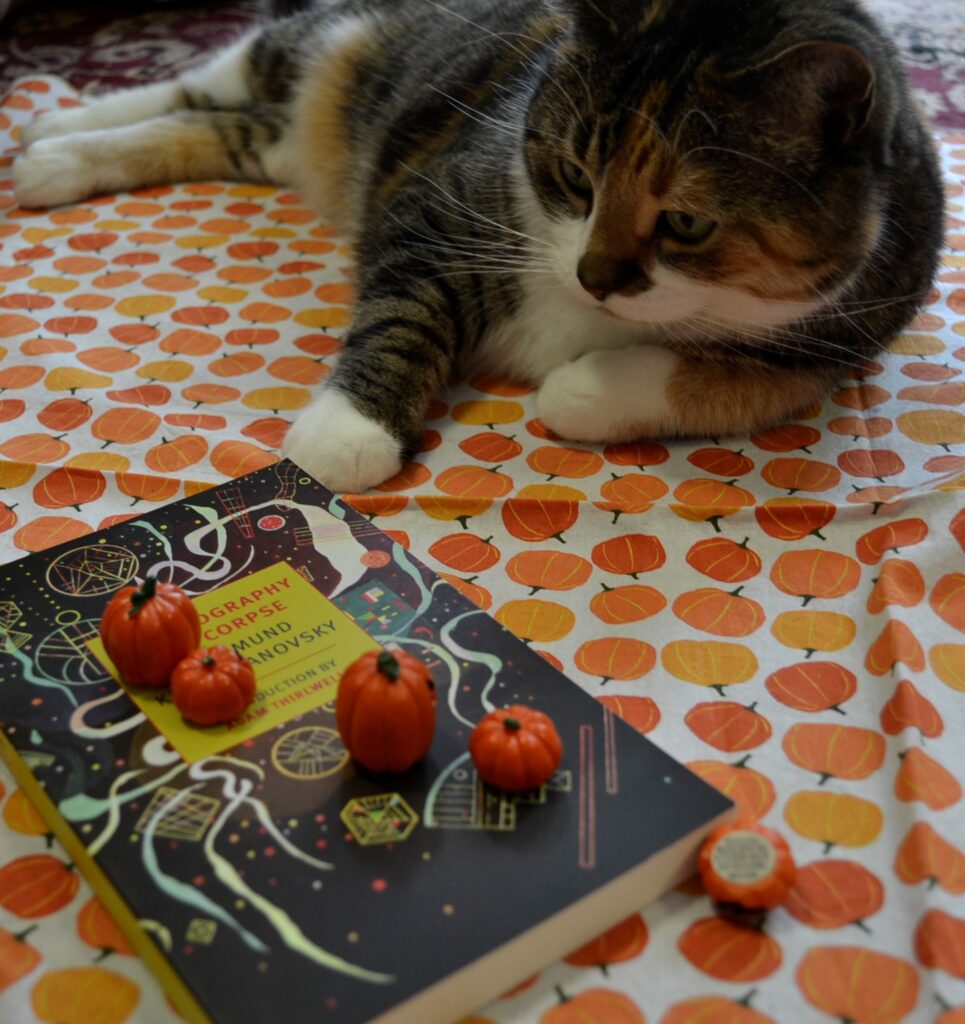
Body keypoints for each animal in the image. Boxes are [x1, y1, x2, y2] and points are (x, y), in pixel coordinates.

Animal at [11, 0, 942, 491]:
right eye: (572, 174)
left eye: (686, 223)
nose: (593, 276)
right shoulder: (441, 202)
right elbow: (404, 309)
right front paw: (349, 431)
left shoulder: (842, 333)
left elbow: (737, 381)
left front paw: (586, 388)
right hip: (334, 42)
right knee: (206, 80)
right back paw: (55, 131)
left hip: (285, 133)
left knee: (228, 129)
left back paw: (58, 153)